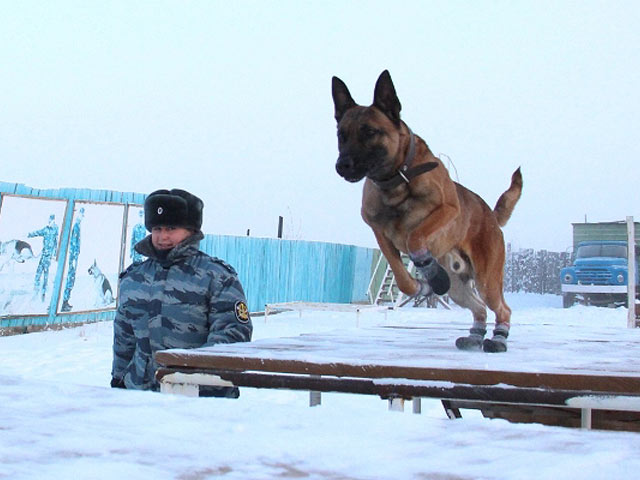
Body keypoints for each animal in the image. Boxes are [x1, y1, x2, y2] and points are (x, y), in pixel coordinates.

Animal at [332, 68, 524, 352]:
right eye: (341, 135)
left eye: (369, 132)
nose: (341, 165)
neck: (397, 181)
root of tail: (491, 215)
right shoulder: (379, 232)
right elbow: (402, 277)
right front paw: (420, 285)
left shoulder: (447, 210)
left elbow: (415, 236)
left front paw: (428, 269)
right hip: (459, 288)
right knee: (479, 308)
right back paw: (475, 335)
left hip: (487, 279)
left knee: (502, 308)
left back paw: (498, 337)